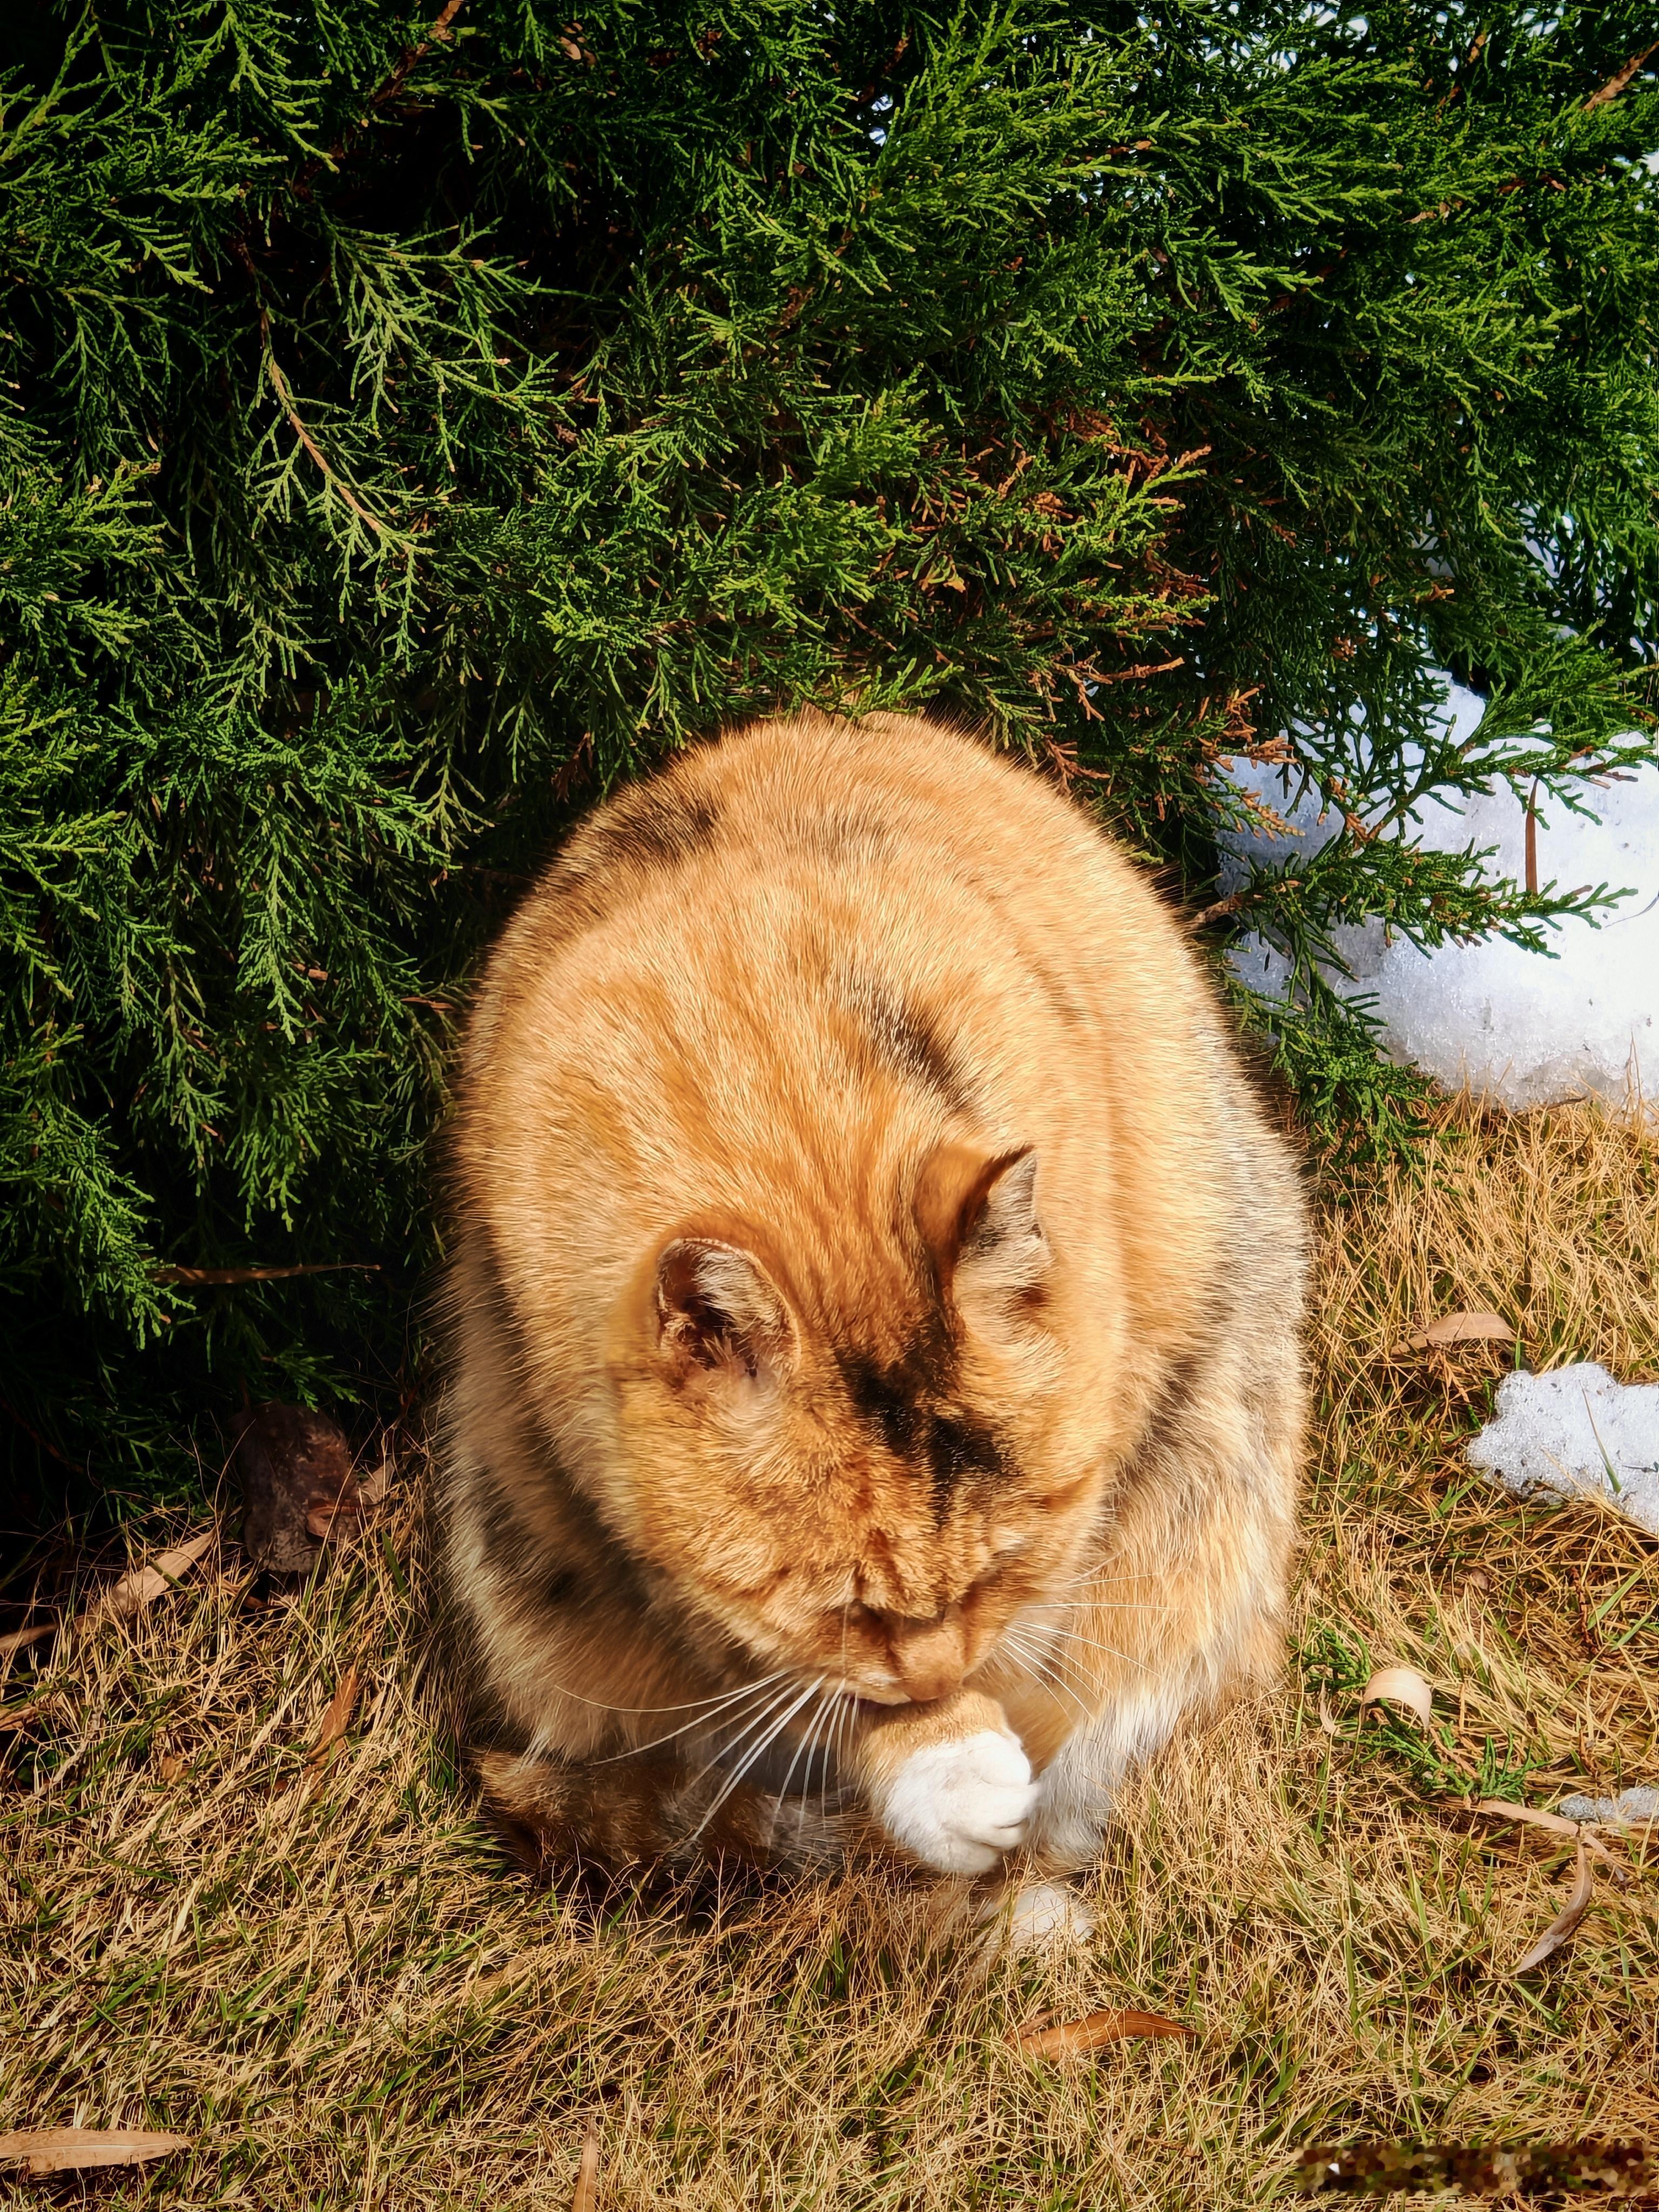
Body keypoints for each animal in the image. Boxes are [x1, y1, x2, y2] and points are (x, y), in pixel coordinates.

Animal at [442, 712, 1309, 1938]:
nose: (943, 1682)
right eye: (841, 1602)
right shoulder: (627, 1521)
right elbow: (792, 1682)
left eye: (1004, 1558)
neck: (777, 1078)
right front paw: (944, 1770)